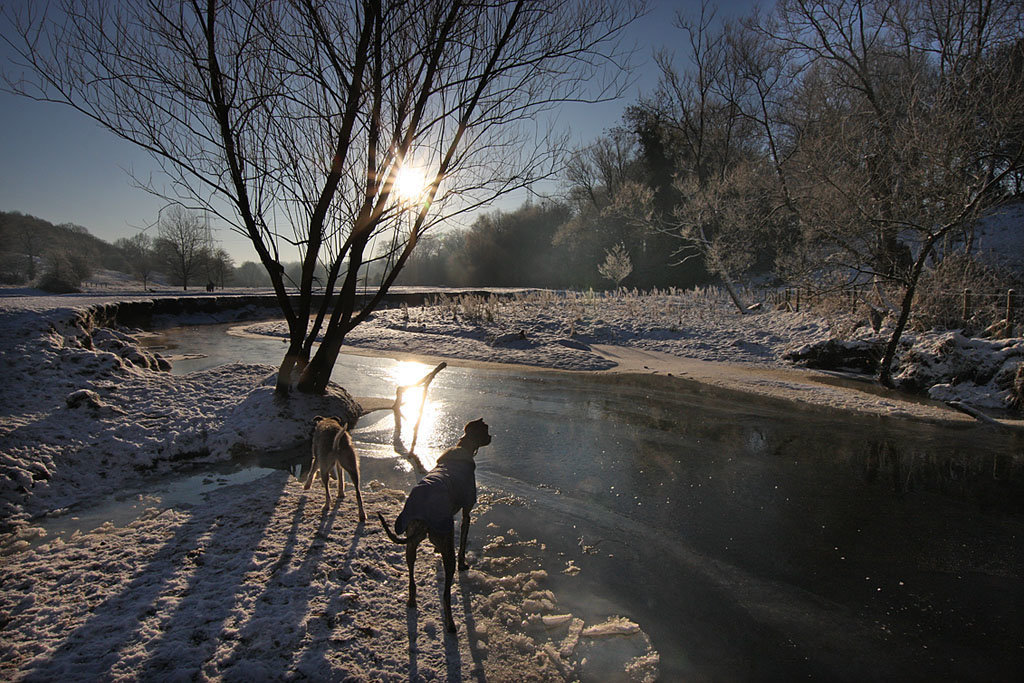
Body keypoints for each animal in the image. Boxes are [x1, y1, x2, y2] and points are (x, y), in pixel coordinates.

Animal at [378, 419, 493, 634]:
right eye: (486, 431)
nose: (491, 437)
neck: (463, 448)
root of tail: (422, 512)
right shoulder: (466, 511)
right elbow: (463, 541)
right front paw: (464, 564)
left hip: (411, 542)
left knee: (412, 574)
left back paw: (412, 600)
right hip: (444, 547)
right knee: (446, 593)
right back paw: (450, 623)